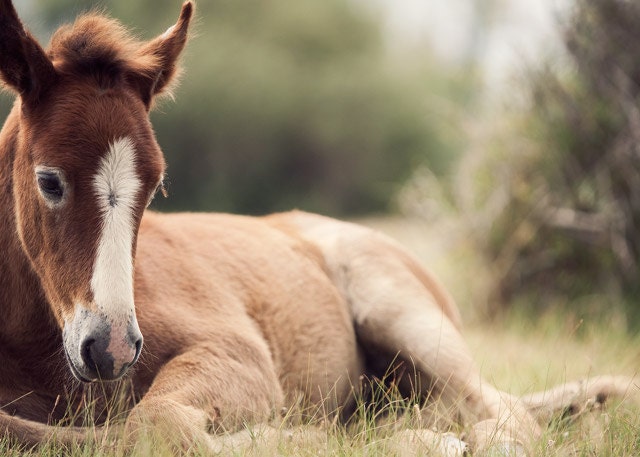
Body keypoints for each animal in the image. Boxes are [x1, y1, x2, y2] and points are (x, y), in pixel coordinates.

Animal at [0, 0, 635, 454]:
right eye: (49, 181)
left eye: (154, 186)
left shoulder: (237, 353)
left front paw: (296, 437)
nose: (111, 350)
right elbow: (36, 430)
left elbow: (151, 424)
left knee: (500, 410)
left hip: (404, 316)